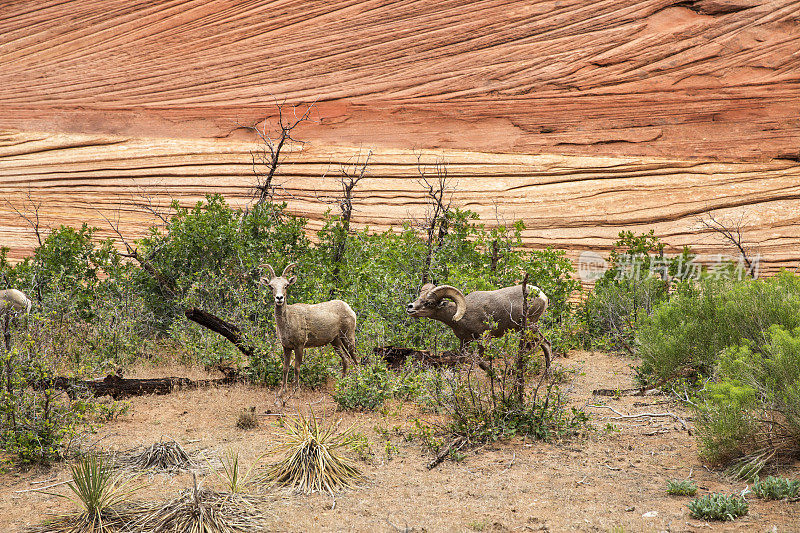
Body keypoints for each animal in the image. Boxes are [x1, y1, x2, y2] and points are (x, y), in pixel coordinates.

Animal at [260, 262, 356, 392]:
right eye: (271, 286)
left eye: (286, 285)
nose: (279, 298)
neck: (287, 324)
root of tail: (351, 310)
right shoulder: (286, 346)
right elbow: (285, 368)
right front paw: (282, 391)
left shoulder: (300, 344)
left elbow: (296, 368)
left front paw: (296, 390)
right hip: (335, 340)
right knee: (346, 360)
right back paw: (341, 386)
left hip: (348, 336)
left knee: (356, 359)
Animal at [406, 282, 552, 370]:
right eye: (419, 297)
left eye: (429, 303)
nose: (410, 307)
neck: (464, 315)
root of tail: (542, 296)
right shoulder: (464, 341)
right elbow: (462, 360)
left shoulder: (484, 338)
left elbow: (481, 362)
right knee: (541, 344)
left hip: (530, 326)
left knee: (543, 343)